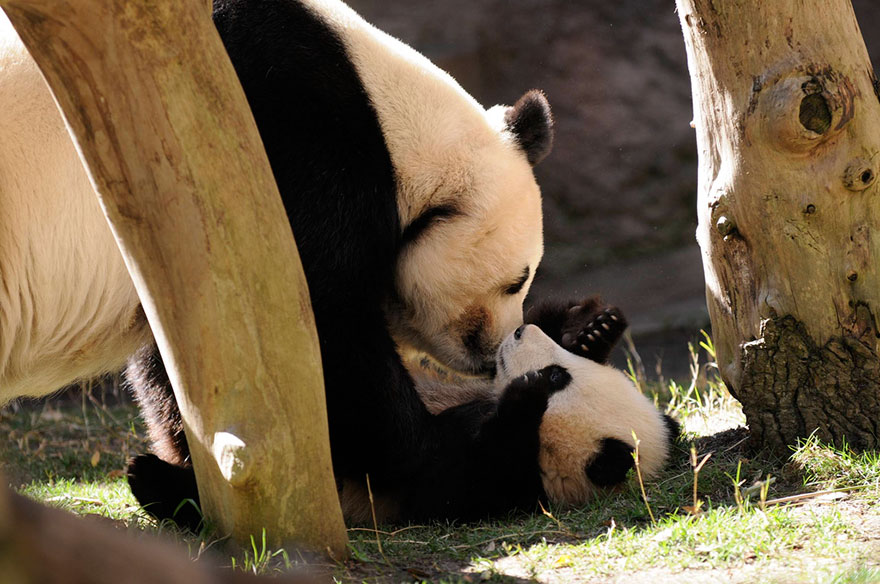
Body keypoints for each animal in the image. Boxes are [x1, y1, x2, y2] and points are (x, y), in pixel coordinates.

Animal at [0, 0, 599, 529]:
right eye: (517, 280)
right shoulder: (283, 144)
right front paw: (453, 459)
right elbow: (321, 330)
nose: (500, 349)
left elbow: (182, 354)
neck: (390, 119)